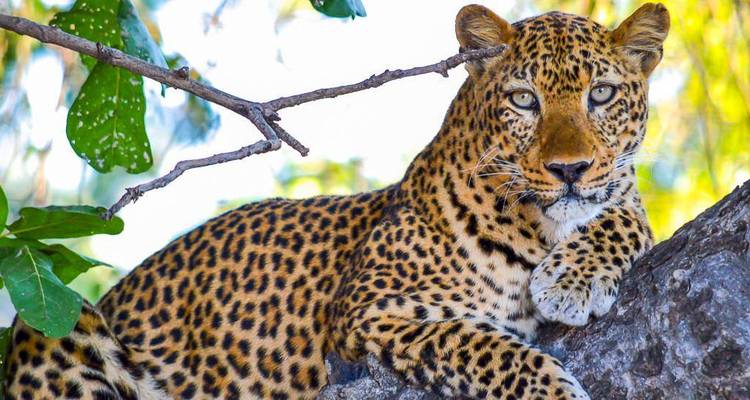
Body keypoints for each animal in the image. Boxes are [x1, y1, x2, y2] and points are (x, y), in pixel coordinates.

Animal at [4, 3, 669, 399]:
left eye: (602, 95)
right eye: (525, 100)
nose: (569, 170)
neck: (536, 225)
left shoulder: (617, 195)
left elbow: (626, 213)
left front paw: (573, 278)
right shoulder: (370, 312)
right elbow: (485, 347)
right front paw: (553, 390)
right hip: (57, 326)